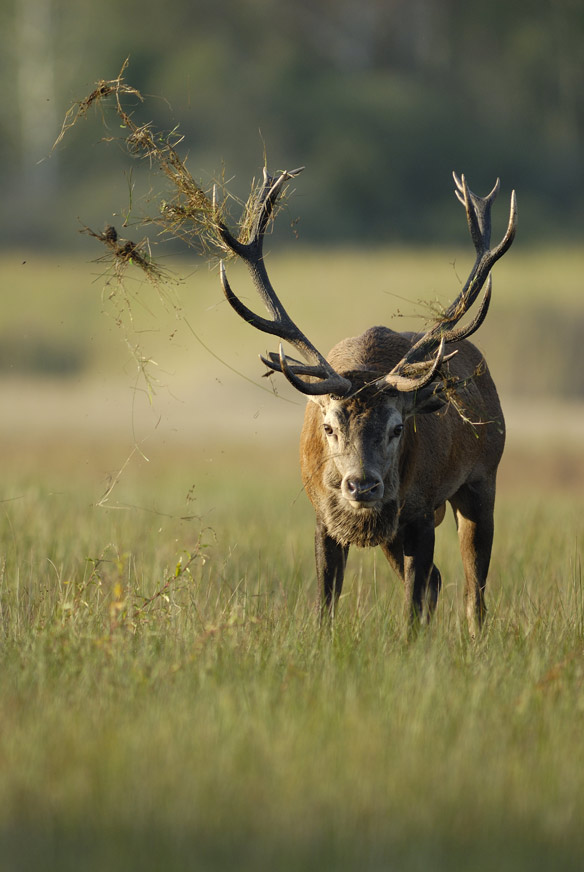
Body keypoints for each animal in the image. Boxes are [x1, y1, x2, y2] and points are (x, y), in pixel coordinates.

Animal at [213, 170, 516, 632]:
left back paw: (475, 637)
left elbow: (411, 607)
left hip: (482, 479)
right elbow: (326, 602)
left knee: (472, 589)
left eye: (397, 428)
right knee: (439, 580)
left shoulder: (421, 511)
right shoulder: (323, 515)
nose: (362, 485)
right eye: (328, 427)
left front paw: (410, 644)